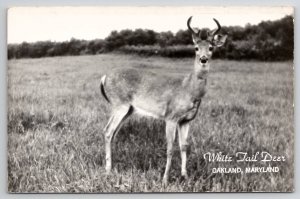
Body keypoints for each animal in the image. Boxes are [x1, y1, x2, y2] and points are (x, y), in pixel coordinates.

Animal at [99, 15, 226, 185]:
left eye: (211, 48)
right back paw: (108, 170)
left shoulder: (186, 120)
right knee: (108, 131)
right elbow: (170, 148)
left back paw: (112, 167)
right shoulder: (171, 117)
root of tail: (104, 77)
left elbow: (184, 146)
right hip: (120, 104)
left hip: (128, 109)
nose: (203, 59)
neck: (188, 88)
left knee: (112, 132)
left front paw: (185, 176)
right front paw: (165, 179)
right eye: (196, 48)